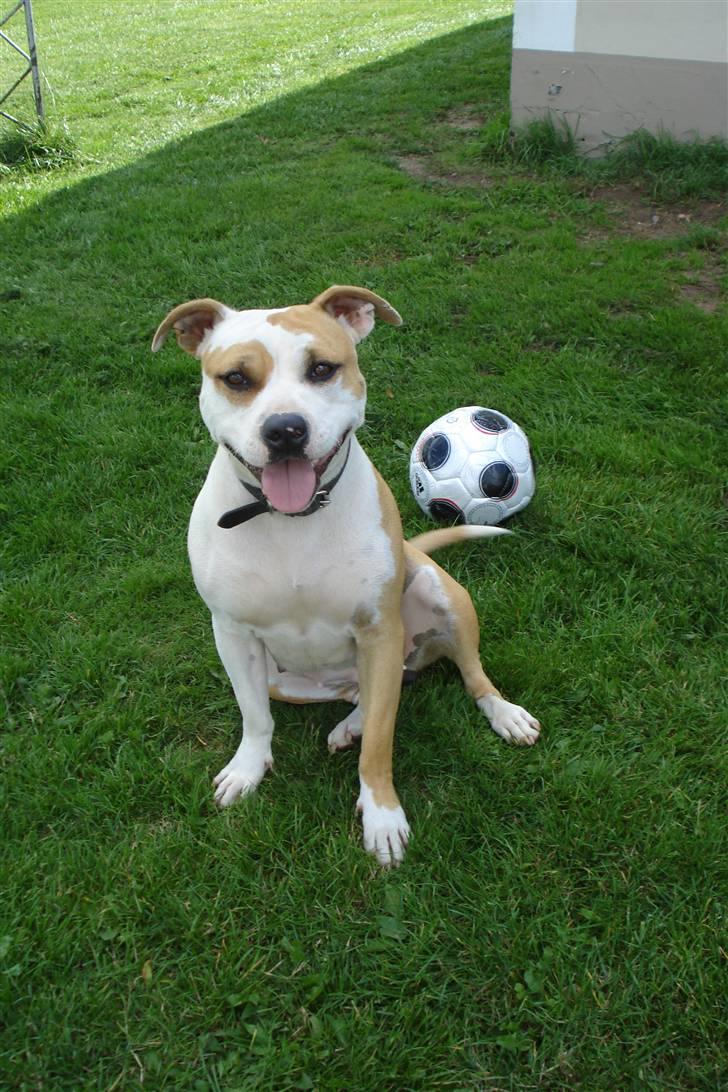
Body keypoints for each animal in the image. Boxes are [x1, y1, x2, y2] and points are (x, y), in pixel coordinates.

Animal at [152, 286, 541, 864]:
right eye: (236, 378)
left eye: (321, 369)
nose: (285, 429)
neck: (291, 520)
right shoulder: (232, 634)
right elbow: (255, 718)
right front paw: (247, 770)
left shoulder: (377, 630)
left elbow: (382, 740)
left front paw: (382, 816)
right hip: (286, 678)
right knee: (366, 692)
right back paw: (348, 723)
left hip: (439, 596)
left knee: (458, 675)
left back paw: (503, 713)